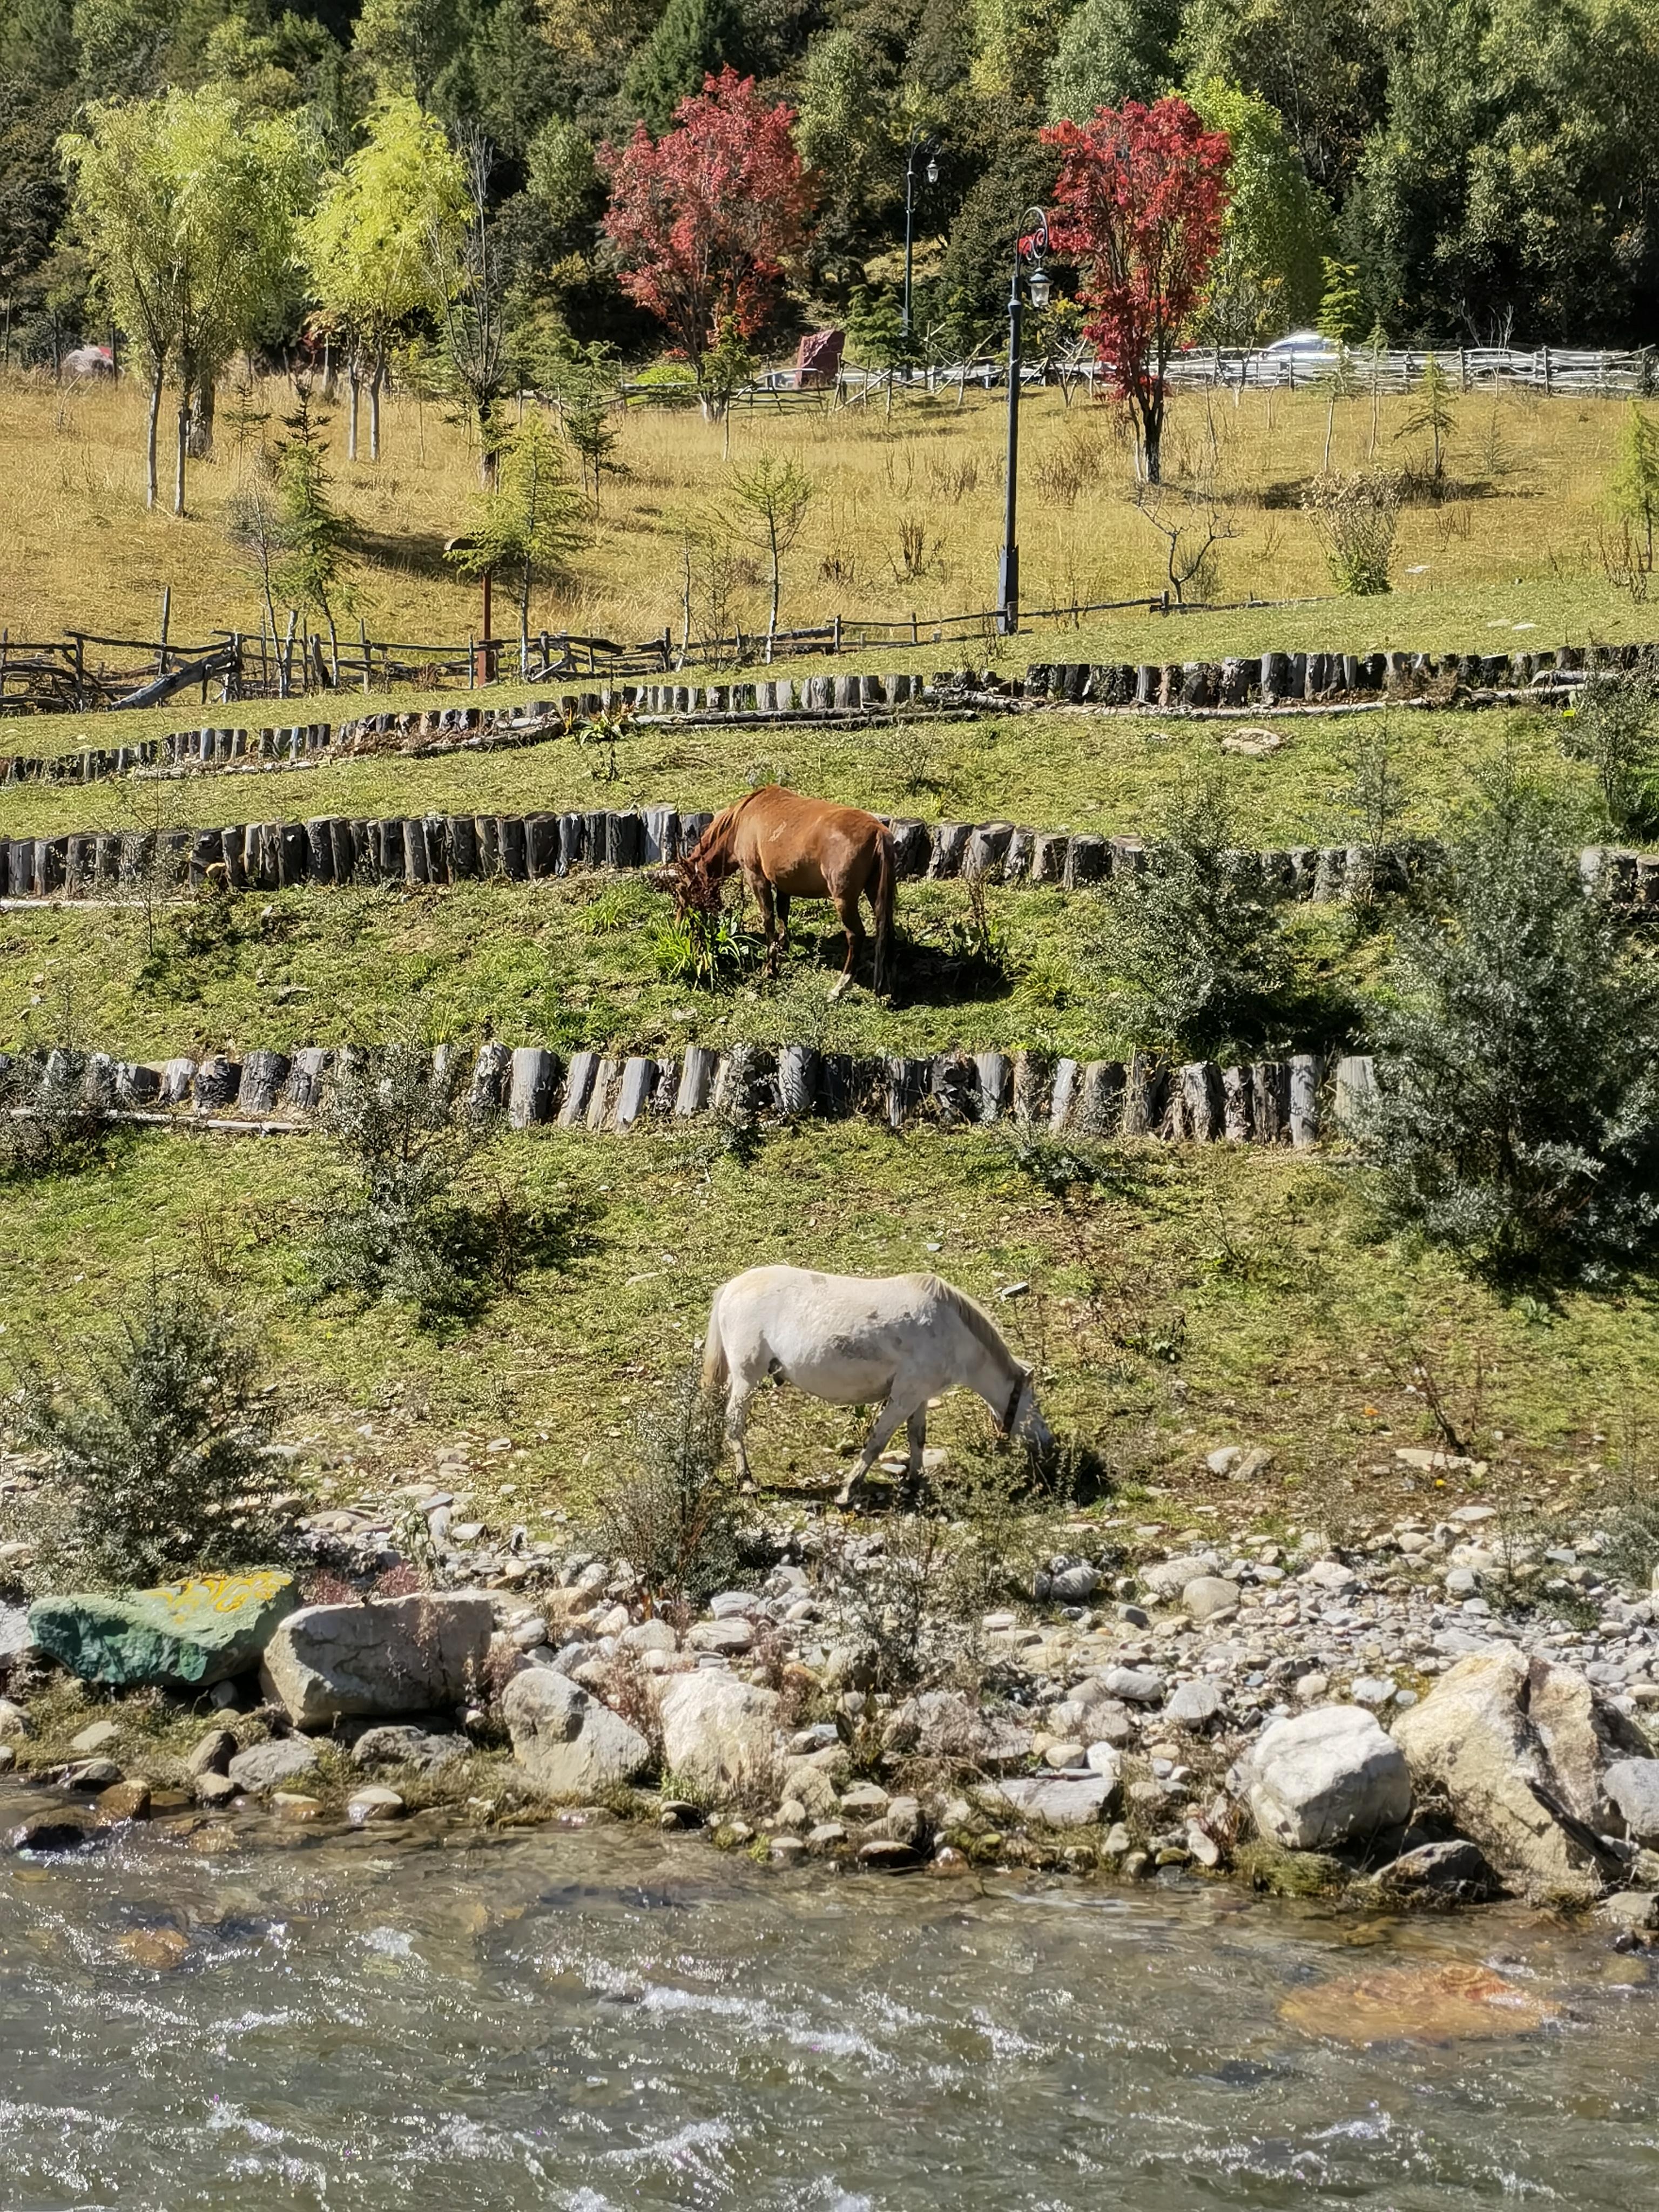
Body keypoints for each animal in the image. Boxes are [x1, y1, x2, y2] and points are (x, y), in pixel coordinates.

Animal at [667, 787, 898, 995]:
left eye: (681, 892)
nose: (677, 930)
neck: (741, 819)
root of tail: (878, 832)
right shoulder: (782, 882)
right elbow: (783, 914)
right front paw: (783, 947)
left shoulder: (757, 877)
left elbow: (769, 919)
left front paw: (771, 966)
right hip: (879, 895)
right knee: (887, 931)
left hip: (844, 900)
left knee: (856, 935)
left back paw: (840, 987)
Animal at [703, 1265, 1053, 1504]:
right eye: (1032, 1401)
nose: (1048, 1443)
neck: (949, 1332)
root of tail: (731, 1288)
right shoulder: (902, 1397)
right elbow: (877, 1442)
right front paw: (848, 1492)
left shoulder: (918, 1397)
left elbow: (917, 1437)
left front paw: (915, 1481)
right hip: (747, 1377)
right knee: (734, 1423)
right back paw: (746, 1481)